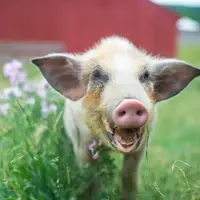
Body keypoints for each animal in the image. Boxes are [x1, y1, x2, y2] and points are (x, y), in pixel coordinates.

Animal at [30, 35, 200, 199]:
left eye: (145, 76)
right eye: (96, 74)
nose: (131, 104)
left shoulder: (141, 146)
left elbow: (129, 176)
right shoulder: (82, 143)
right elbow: (89, 176)